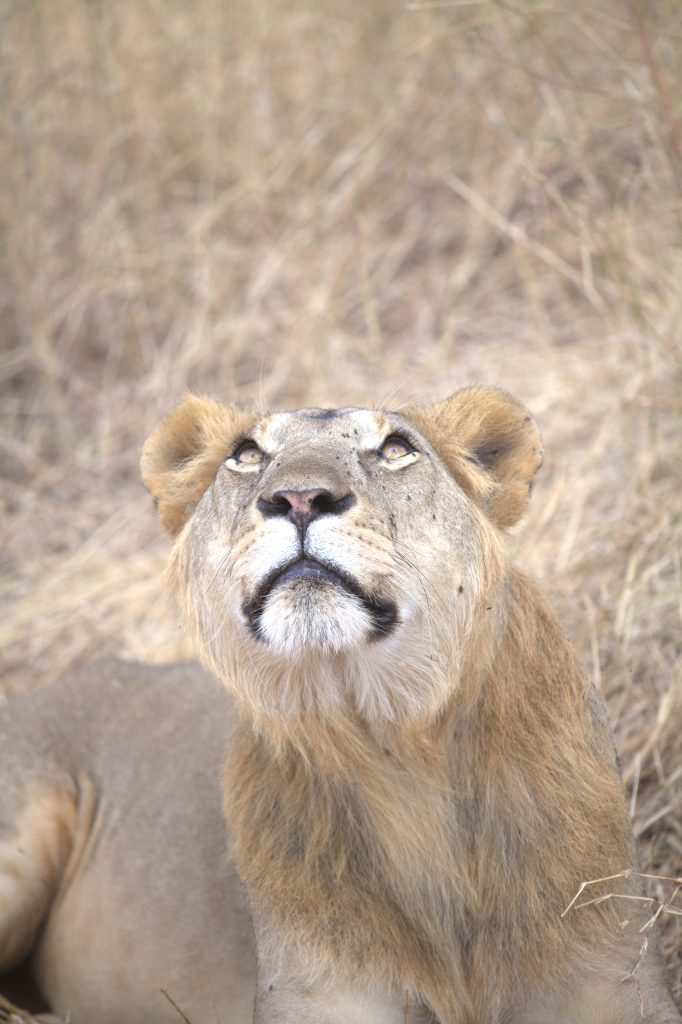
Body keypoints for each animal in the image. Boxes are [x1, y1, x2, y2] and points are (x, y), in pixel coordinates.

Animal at [0, 386, 679, 1024]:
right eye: (246, 455)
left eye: (396, 448)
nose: (299, 499)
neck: (394, 742)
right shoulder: (319, 992)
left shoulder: (611, 973)